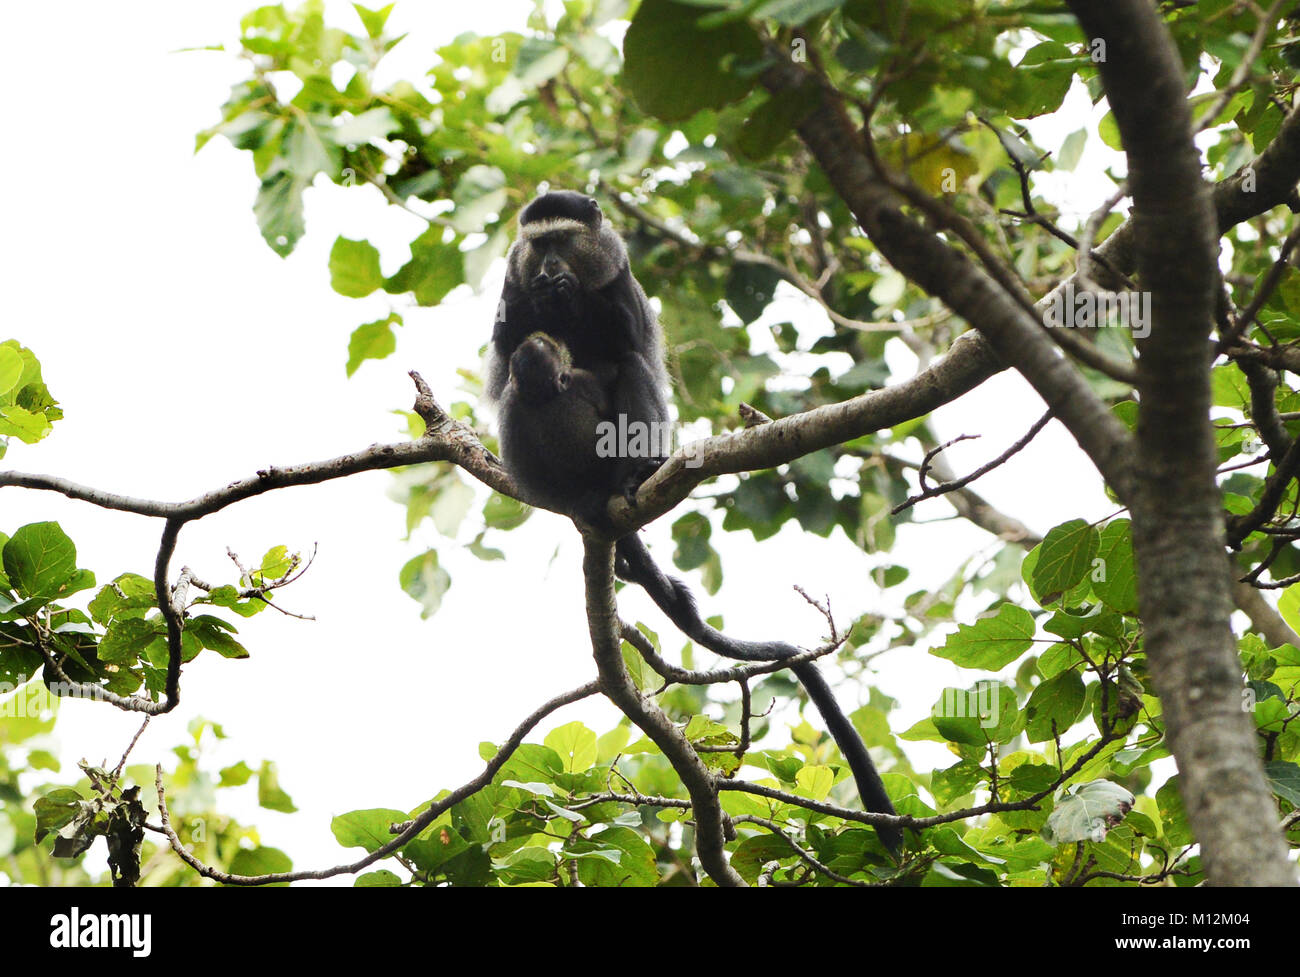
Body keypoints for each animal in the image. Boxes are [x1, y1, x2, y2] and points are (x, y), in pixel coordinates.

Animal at [488, 190, 904, 852]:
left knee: (631, 367)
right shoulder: (512, 287)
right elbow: (507, 357)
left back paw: (633, 476)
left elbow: (628, 345)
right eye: (539, 244)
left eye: (565, 241)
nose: (550, 270)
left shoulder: (619, 282)